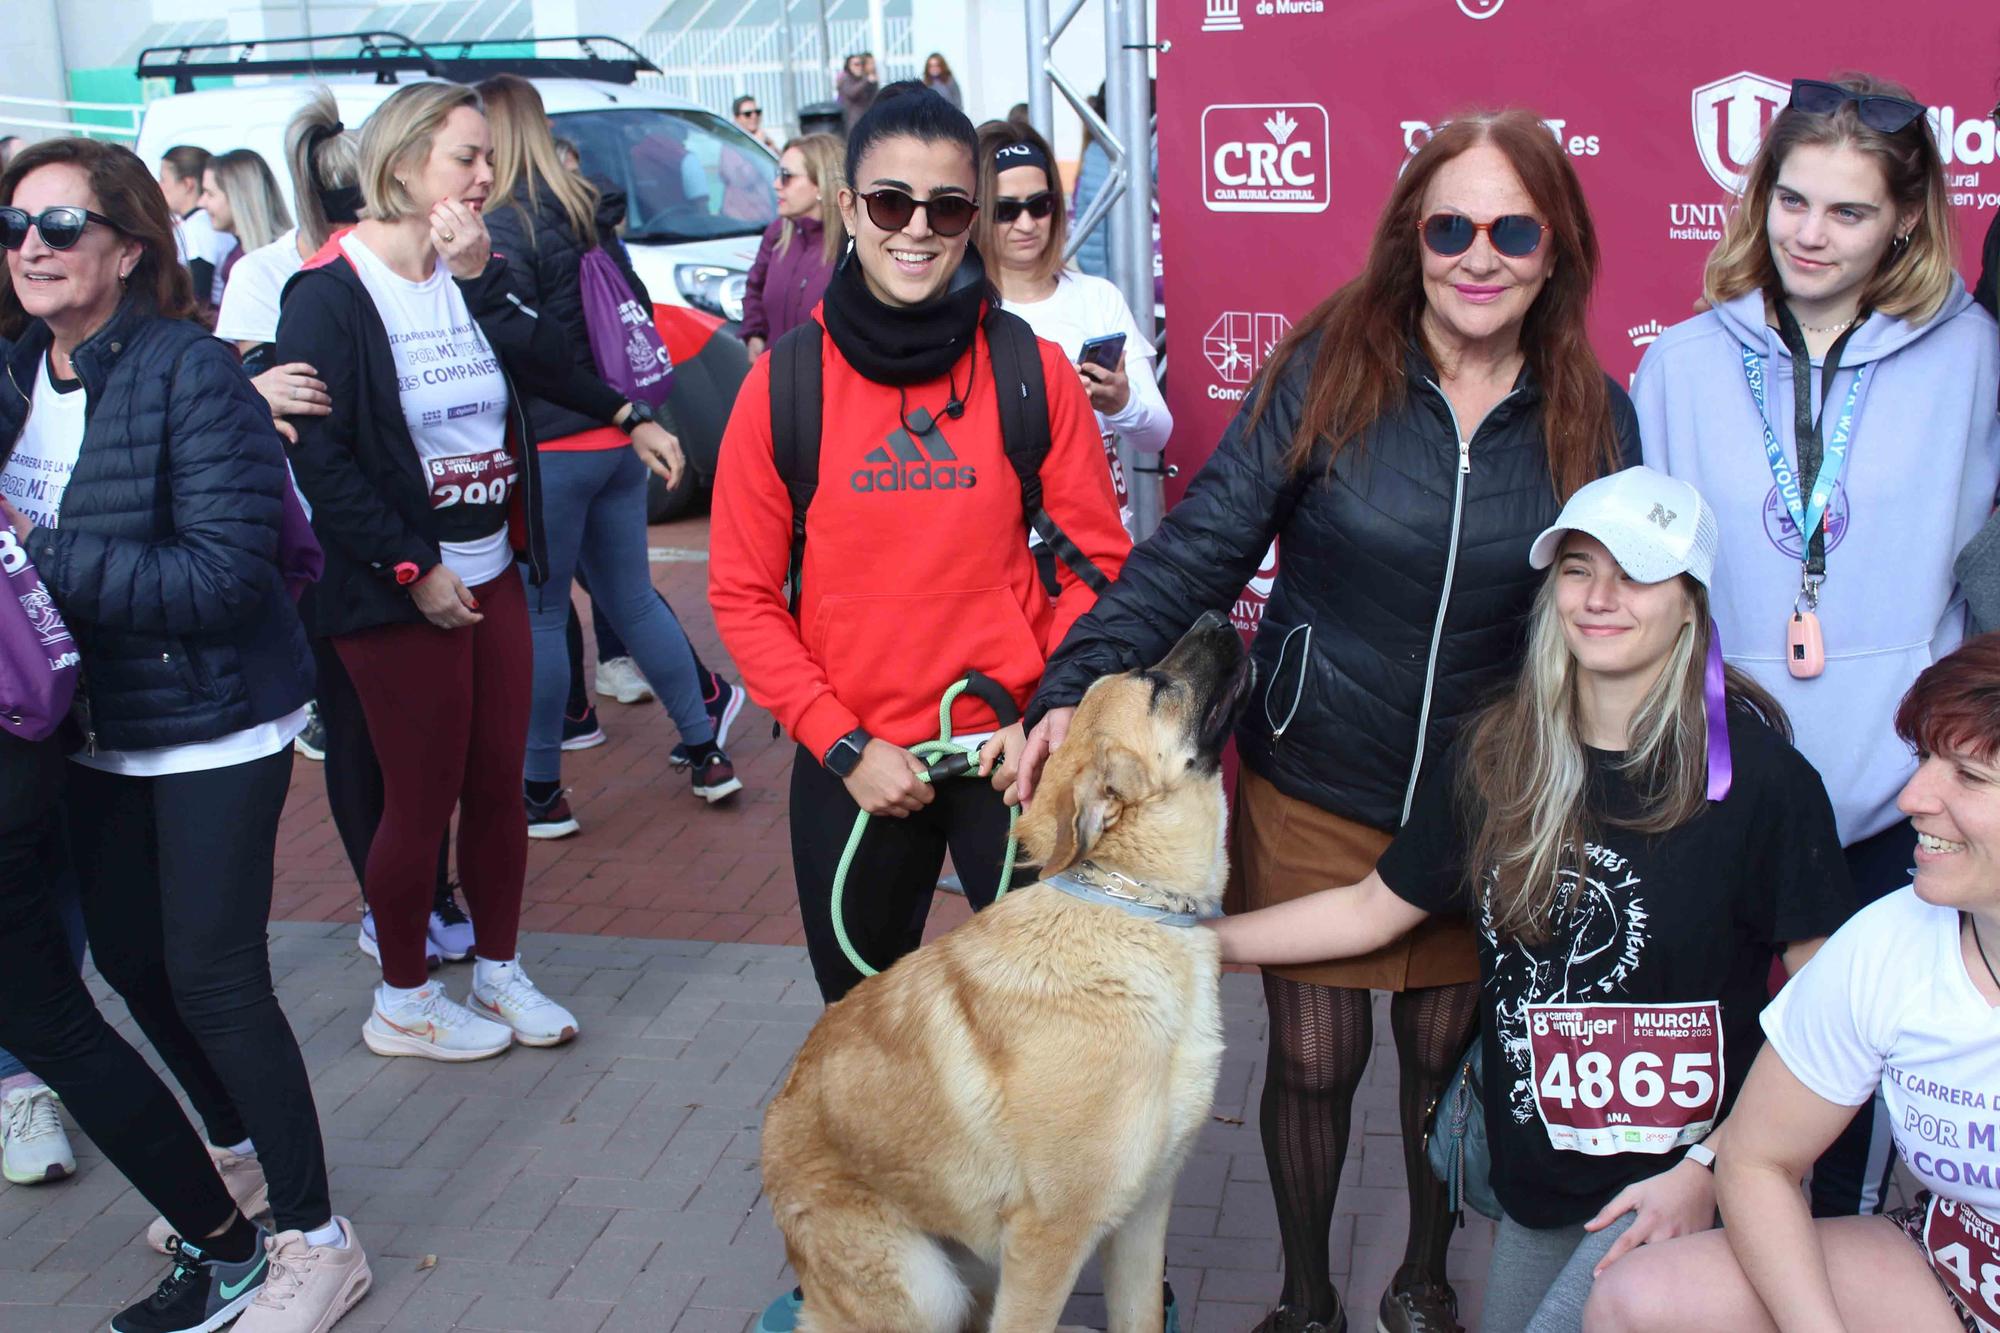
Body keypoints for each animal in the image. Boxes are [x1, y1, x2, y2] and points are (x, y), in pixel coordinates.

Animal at [760, 612, 1248, 1328]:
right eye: (1154, 683)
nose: (1217, 616)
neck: (1129, 906)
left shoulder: (1142, 1217)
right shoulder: (1049, 1239)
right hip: (925, 1289)